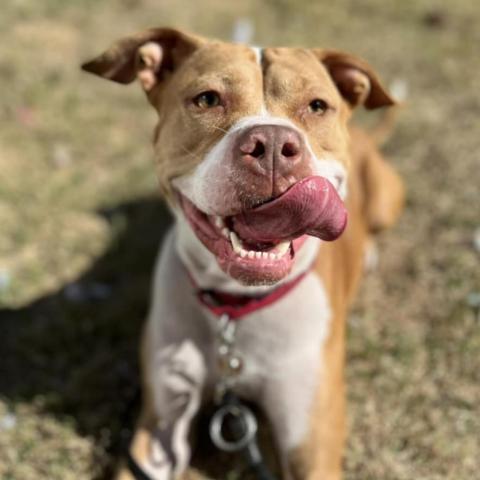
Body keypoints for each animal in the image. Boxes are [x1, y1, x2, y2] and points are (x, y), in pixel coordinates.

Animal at [83, 28, 404, 480]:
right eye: (207, 99)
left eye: (317, 106)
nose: (271, 144)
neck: (235, 308)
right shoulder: (158, 431)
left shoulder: (311, 443)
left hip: (387, 198)